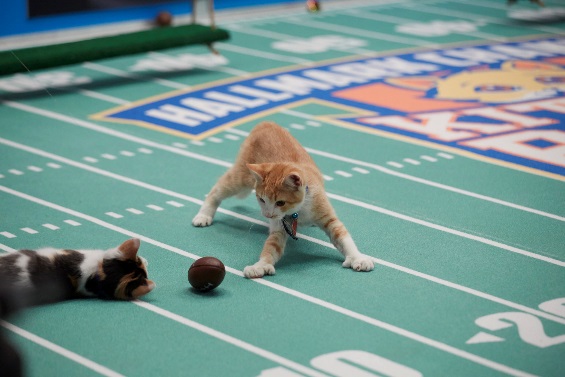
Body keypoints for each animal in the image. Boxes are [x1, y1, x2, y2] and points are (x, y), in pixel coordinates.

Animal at [194, 122, 374, 278]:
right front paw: (261, 265)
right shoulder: (279, 227)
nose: (267, 215)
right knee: (216, 191)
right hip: (241, 177)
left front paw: (357, 258)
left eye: (280, 202)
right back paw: (203, 215)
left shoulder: (326, 216)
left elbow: (343, 237)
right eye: (261, 199)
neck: (299, 211)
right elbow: (271, 247)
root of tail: (266, 123)